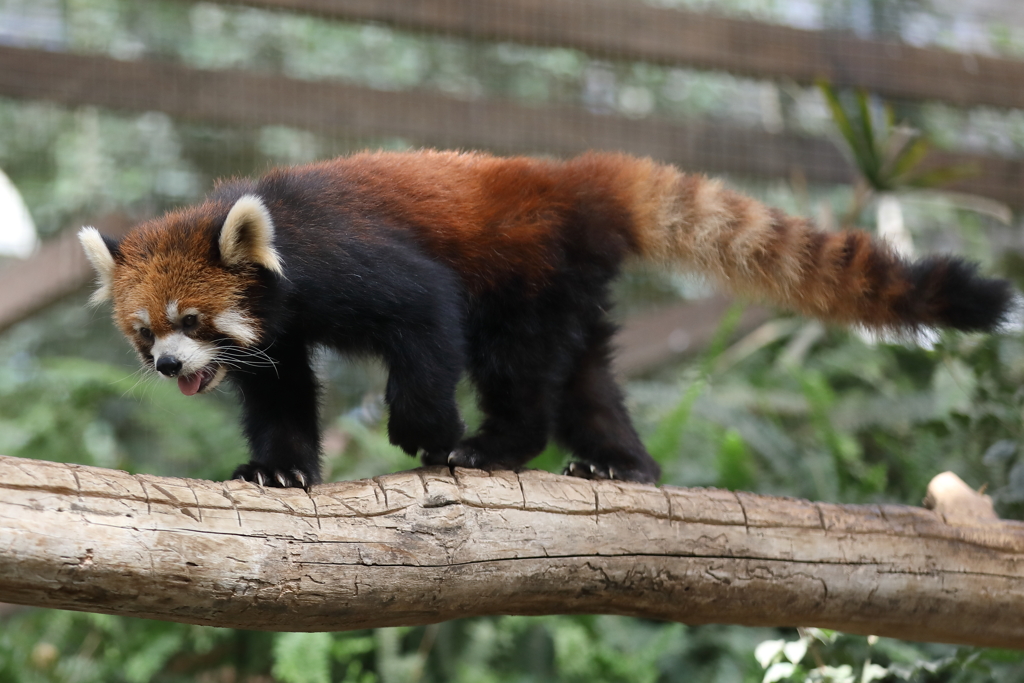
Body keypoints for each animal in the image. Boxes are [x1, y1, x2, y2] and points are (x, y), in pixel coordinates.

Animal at [77, 152, 1007, 489]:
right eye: (143, 331)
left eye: (193, 317)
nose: (167, 365)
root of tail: (572, 175)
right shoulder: (281, 328)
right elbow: (279, 393)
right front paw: (277, 469)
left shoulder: (348, 259)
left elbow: (425, 317)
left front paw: (425, 430)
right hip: (573, 286)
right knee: (585, 374)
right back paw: (622, 462)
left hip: (525, 270)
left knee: (518, 365)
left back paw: (494, 446)